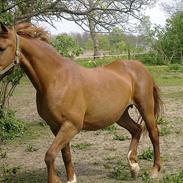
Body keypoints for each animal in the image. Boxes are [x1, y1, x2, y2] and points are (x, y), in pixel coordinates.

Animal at [0, 23, 161, 183]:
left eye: (2, 48)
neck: (56, 79)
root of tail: (140, 67)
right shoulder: (56, 126)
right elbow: (66, 154)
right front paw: (71, 179)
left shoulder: (71, 125)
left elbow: (50, 155)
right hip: (120, 114)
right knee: (136, 129)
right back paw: (133, 167)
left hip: (145, 107)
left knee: (153, 133)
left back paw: (154, 170)